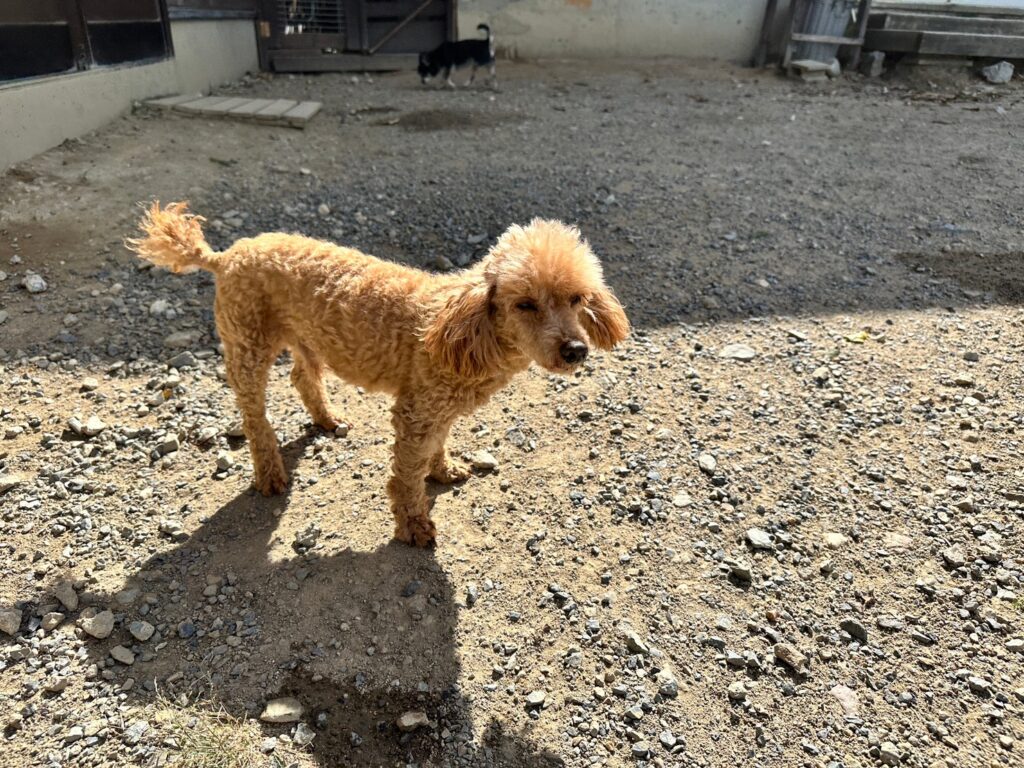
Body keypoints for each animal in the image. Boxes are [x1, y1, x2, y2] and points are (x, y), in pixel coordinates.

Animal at [128, 203, 629, 547]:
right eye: (524, 303)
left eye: (578, 298)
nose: (576, 350)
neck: (463, 327)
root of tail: (226, 254)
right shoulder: (416, 410)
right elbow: (406, 475)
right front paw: (414, 524)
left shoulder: (438, 407)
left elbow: (437, 447)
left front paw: (444, 470)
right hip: (247, 343)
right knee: (254, 415)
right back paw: (269, 473)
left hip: (307, 337)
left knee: (303, 379)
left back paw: (327, 420)